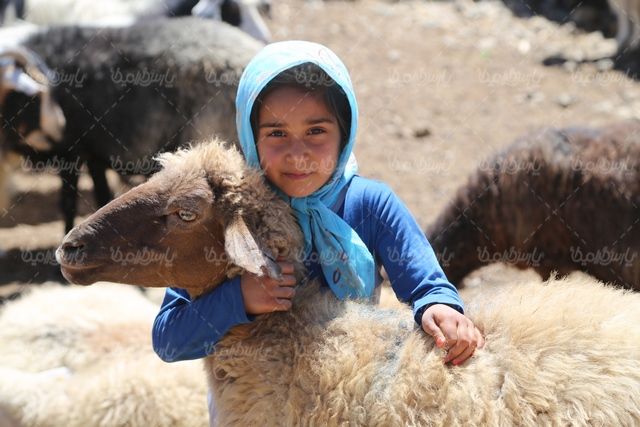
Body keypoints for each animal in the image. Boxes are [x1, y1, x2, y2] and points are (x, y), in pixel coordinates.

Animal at [0, 17, 262, 231]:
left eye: (33, 96)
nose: (58, 125)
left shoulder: (71, 152)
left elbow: (68, 204)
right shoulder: (92, 153)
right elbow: (101, 196)